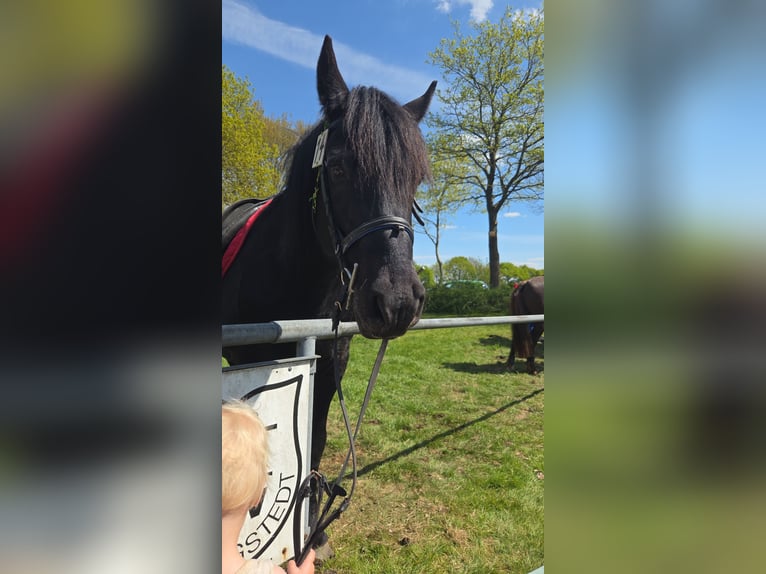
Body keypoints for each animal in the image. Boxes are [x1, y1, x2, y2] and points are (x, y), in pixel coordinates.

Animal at [222, 35, 436, 553]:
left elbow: (315, 443)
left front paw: (312, 528)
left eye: (415, 179)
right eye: (337, 167)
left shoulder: (330, 365)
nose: (398, 302)